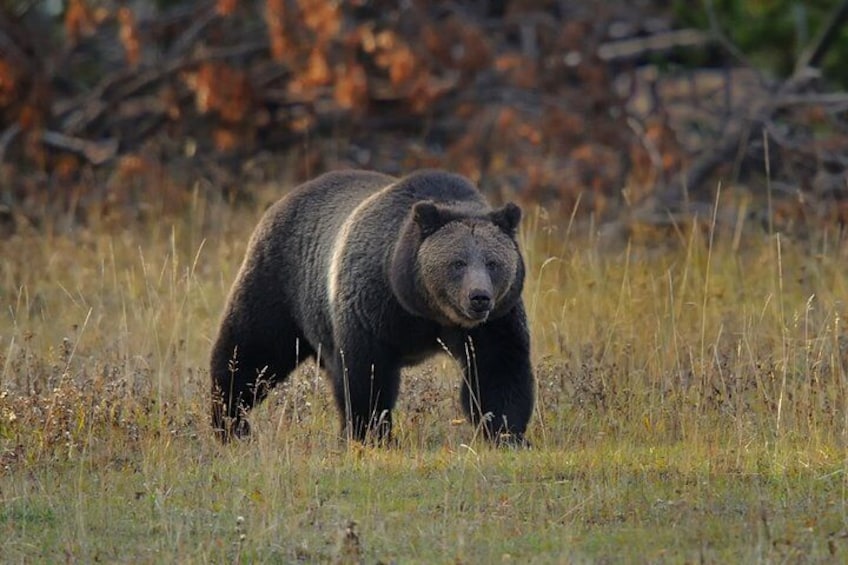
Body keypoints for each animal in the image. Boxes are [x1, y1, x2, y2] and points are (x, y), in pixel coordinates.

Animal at [210, 169, 534, 445]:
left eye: (493, 263)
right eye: (457, 263)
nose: (479, 297)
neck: (426, 310)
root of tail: (282, 200)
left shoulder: (496, 321)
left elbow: (498, 369)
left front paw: (507, 433)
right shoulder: (372, 306)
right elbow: (366, 374)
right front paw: (370, 434)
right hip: (279, 284)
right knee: (250, 352)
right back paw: (230, 424)